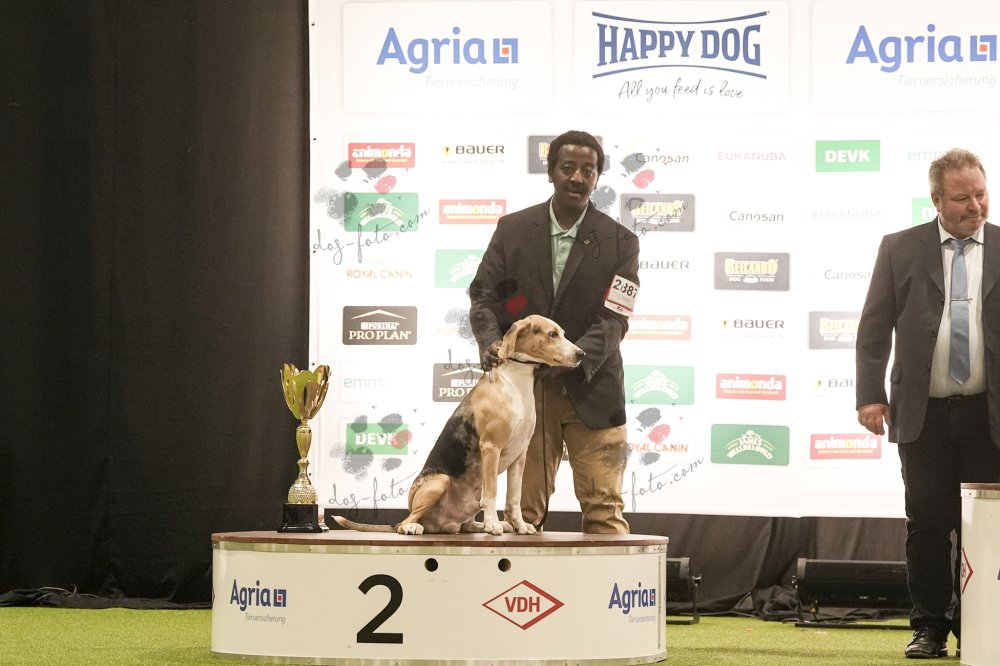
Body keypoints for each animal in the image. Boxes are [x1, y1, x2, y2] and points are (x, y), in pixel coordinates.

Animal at [333, 314, 584, 535]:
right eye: (552, 334)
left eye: (562, 333)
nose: (581, 354)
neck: (515, 382)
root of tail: (439, 524)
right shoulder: (491, 448)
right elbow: (492, 493)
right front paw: (493, 524)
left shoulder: (520, 456)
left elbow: (513, 498)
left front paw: (520, 526)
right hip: (439, 482)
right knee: (406, 522)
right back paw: (416, 527)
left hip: (471, 501)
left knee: (466, 524)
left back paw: (485, 525)